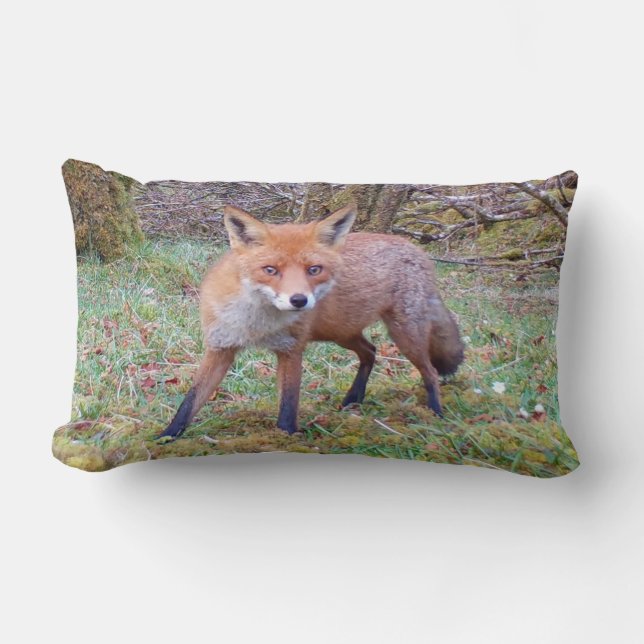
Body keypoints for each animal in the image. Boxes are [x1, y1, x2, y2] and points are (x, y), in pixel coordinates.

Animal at [158, 203, 464, 439]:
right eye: (271, 270)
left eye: (314, 270)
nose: (299, 301)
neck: (257, 323)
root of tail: (418, 251)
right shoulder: (220, 347)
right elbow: (190, 401)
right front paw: (166, 437)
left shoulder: (290, 349)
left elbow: (288, 404)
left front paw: (285, 437)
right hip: (342, 333)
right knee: (371, 352)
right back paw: (353, 399)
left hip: (404, 334)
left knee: (430, 372)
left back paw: (435, 413)